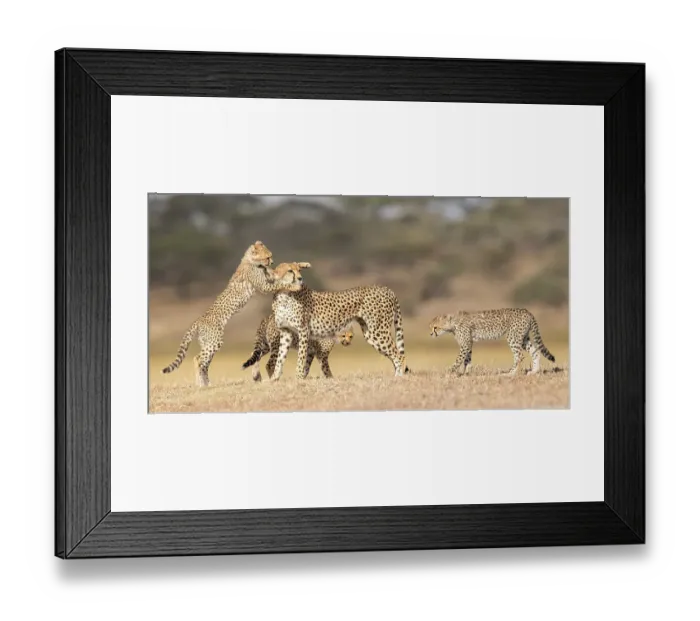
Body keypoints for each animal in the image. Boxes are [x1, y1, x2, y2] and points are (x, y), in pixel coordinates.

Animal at [161, 242, 309, 387]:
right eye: (268, 257)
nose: (272, 262)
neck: (250, 261)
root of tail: (199, 320)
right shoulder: (264, 285)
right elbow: (280, 283)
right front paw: (295, 285)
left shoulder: (268, 277)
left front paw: (303, 265)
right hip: (215, 341)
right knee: (197, 359)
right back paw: (201, 384)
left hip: (207, 342)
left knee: (204, 363)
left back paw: (206, 383)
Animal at [269, 269, 408, 380]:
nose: (299, 279)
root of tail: (387, 289)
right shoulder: (286, 332)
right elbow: (281, 357)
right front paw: (274, 379)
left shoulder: (304, 331)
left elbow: (302, 358)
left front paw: (298, 378)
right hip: (371, 334)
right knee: (395, 355)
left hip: (378, 331)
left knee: (399, 356)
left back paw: (398, 379)